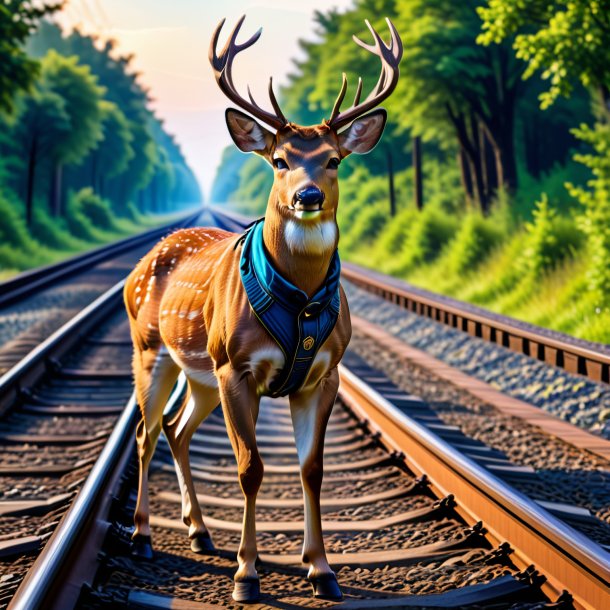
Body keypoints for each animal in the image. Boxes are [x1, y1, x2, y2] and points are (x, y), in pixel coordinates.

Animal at [123, 16, 400, 600]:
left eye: (334, 160)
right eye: (279, 160)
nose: (308, 196)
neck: (300, 301)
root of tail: (144, 261)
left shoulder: (325, 372)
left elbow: (312, 469)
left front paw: (322, 570)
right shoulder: (236, 364)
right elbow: (250, 467)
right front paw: (247, 576)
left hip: (199, 372)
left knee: (178, 429)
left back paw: (200, 533)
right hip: (152, 349)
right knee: (146, 431)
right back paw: (142, 536)